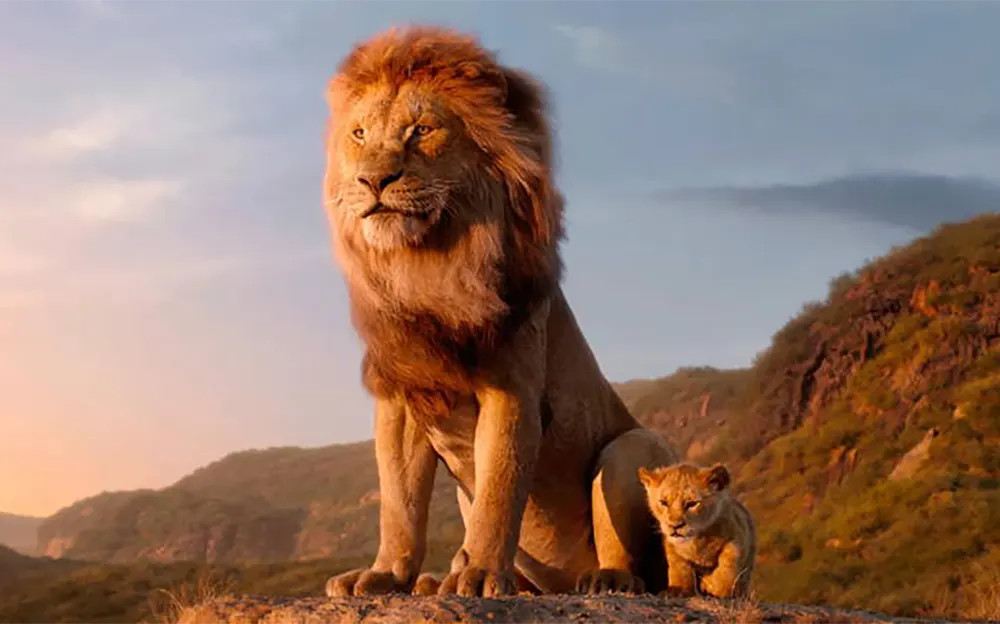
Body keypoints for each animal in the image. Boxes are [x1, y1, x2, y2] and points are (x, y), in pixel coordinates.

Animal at [320, 25, 679, 598]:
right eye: (359, 134)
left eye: (421, 130)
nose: (372, 181)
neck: (427, 266)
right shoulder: (402, 396)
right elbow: (399, 503)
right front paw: (386, 574)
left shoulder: (511, 387)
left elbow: (499, 489)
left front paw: (481, 573)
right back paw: (434, 581)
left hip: (631, 447)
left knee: (637, 561)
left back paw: (605, 579)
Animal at [638, 463, 757, 599]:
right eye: (663, 502)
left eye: (692, 503)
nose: (675, 526)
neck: (696, 539)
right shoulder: (671, 546)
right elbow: (679, 566)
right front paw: (678, 589)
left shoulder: (737, 535)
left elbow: (728, 563)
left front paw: (720, 589)